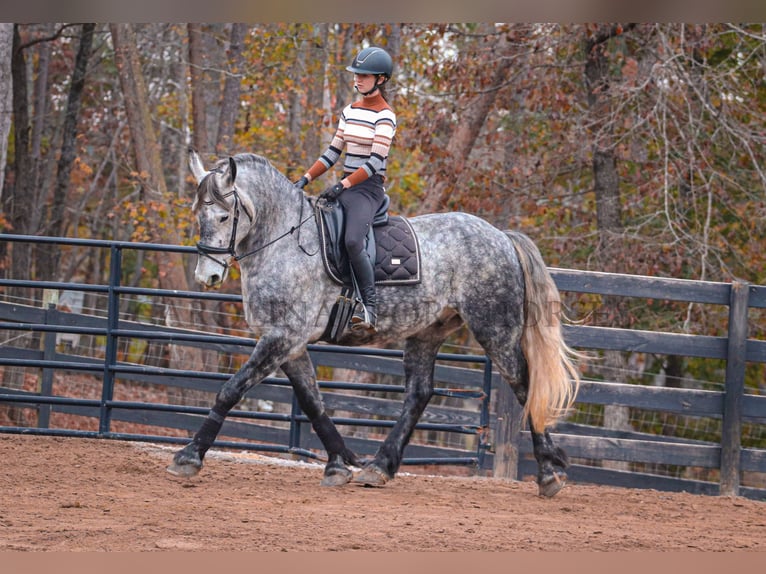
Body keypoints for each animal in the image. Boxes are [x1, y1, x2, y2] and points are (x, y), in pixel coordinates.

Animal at [168, 151, 584, 498]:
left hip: (495, 329)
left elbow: (230, 390)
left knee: (524, 385)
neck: (285, 242)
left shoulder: (282, 337)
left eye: (224, 216)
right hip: (426, 332)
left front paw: (189, 456)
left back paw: (549, 474)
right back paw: (379, 467)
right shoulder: (290, 342)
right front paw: (339, 463)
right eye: (198, 213)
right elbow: (313, 403)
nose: (207, 276)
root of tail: (500, 237)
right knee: (419, 394)